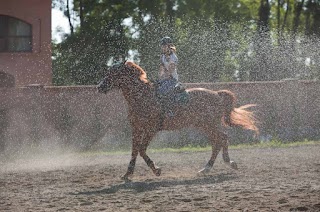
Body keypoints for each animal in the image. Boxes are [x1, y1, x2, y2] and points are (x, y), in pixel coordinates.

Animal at [97, 60, 258, 181]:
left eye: (113, 73)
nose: (99, 87)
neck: (142, 97)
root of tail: (217, 94)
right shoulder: (136, 129)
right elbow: (134, 150)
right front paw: (127, 174)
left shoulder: (151, 129)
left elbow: (142, 150)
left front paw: (156, 170)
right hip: (204, 126)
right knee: (219, 141)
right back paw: (209, 168)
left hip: (209, 125)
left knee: (221, 139)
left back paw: (222, 164)